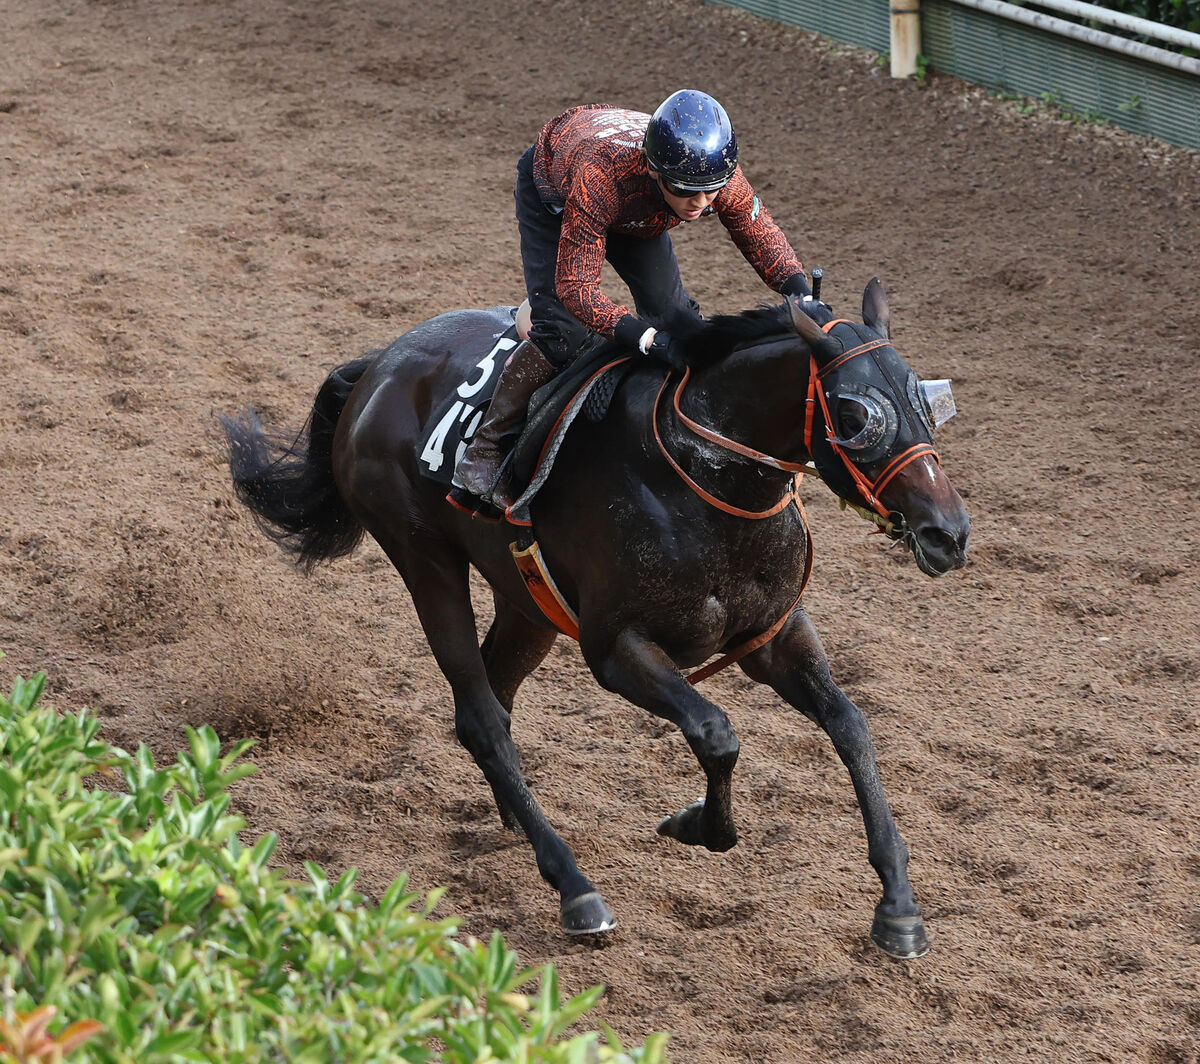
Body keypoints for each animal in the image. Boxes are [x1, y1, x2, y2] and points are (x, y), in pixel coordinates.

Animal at [220, 278, 974, 959]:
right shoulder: (614, 649)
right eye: (855, 413)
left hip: (527, 604)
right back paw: (574, 886)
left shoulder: (774, 636)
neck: (706, 480)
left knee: (494, 697)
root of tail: (378, 366)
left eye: (924, 401)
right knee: (481, 716)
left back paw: (516, 824)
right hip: (424, 560)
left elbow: (850, 725)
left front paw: (898, 906)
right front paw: (699, 824)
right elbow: (716, 732)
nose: (949, 533)